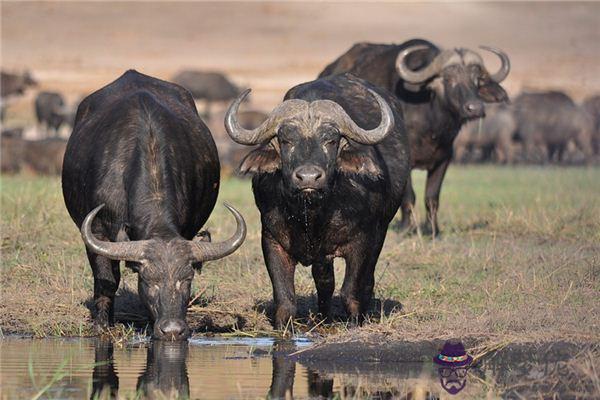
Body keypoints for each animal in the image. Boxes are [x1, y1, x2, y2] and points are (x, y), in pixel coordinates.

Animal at [61, 70, 246, 340]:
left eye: (186, 280)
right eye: (149, 281)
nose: (173, 330)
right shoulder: (96, 231)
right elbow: (106, 279)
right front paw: (102, 325)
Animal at [224, 74, 408, 328]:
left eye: (331, 141)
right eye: (286, 140)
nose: (309, 177)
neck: (312, 214)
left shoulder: (362, 241)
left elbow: (351, 291)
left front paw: (355, 322)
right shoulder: (271, 240)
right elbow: (285, 298)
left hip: (381, 232)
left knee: (365, 279)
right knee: (324, 281)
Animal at [318, 38, 510, 234]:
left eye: (477, 81)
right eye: (448, 79)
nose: (475, 108)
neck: (432, 124)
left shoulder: (444, 158)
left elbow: (432, 197)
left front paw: (433, 230)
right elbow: (408, 196)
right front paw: (406, 228)